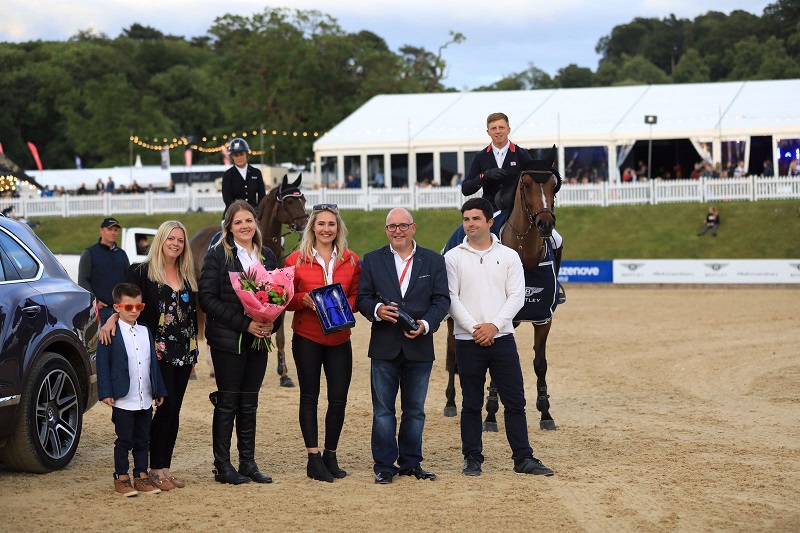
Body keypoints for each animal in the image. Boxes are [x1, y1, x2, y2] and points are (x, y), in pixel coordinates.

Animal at [191, 175, 310, 386]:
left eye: (303, 199)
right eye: (289, 201)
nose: (305, 227)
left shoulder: (281, 299)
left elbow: (280, 337)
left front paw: (284, 374)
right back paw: (197, 371)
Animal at [444, 145, 564, 432]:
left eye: (553, 185)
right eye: (527, 183)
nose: (545, 224)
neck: (526, 254)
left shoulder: (543, 319)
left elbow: (540, 363)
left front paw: (545, 412)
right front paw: (489, 414)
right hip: (453, 317)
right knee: (452, 354)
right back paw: (451, 402)